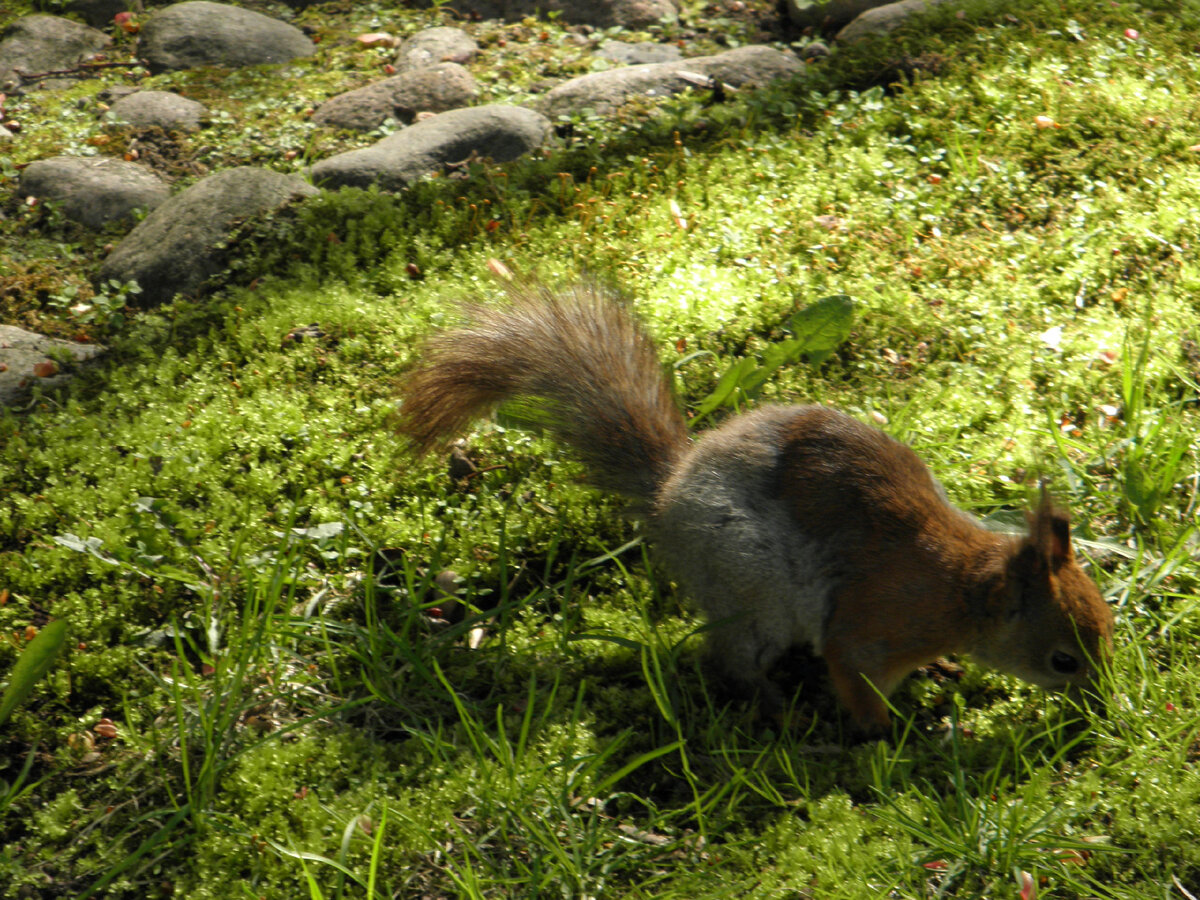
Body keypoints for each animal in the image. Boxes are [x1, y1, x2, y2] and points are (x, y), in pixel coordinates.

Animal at [400, 282, 1113, 734]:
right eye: (1063, 660)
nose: (1104, 708)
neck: (963, 589)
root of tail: (667, 495)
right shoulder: (870, 625)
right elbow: (853, 677)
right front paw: (892, 736)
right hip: (753, 586)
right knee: (729, 663)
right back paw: (779, 709)